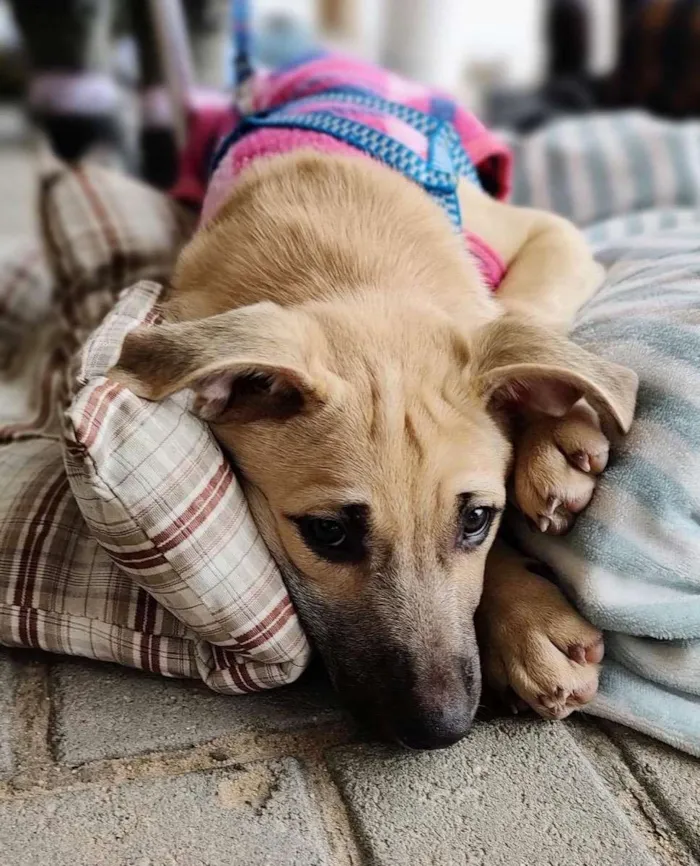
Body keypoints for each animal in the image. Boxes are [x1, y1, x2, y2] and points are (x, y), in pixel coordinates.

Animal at [108, 152, 636, 744]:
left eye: (477, 518)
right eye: (328, 532)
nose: (440, 730)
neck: (351, 261)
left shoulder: (550, 233)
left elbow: (521, 318)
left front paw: (557, 433)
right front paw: (530, 623)